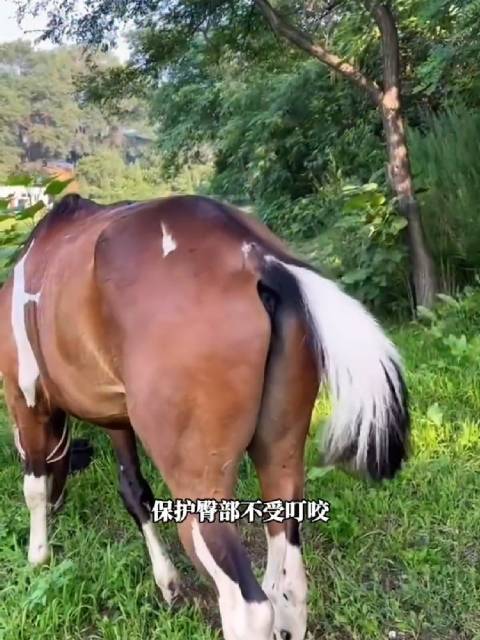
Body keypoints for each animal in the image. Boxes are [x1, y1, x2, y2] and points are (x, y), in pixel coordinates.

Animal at [0, 193, 409, 640]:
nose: (61, 503)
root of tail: (257, 256)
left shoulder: (24, 397)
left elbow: (34, 485)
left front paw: (38, 556)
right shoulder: (118, 418)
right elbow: (134, 491)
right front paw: (166, 581)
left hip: (201, 496)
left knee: (248, 606)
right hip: (281, 461)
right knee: (289, 587)